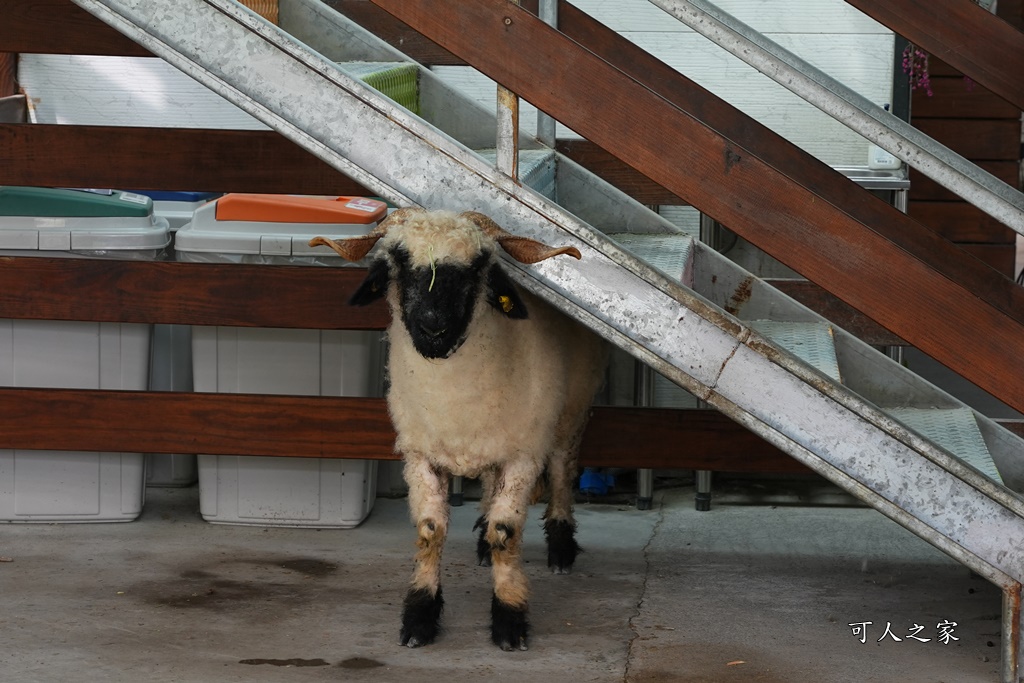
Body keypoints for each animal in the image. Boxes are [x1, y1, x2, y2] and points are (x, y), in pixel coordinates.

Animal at [311, 208, 606, 651]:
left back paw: (560, 548)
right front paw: (419, 616)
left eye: (478, 265)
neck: (453, 399)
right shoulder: (421, 454)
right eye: (398, 260)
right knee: (489, 483)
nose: (433, 327)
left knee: (561, 473)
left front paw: (509, 618)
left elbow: (507, 532)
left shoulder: (522, 455)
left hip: (569, 415)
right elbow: (430, 532)